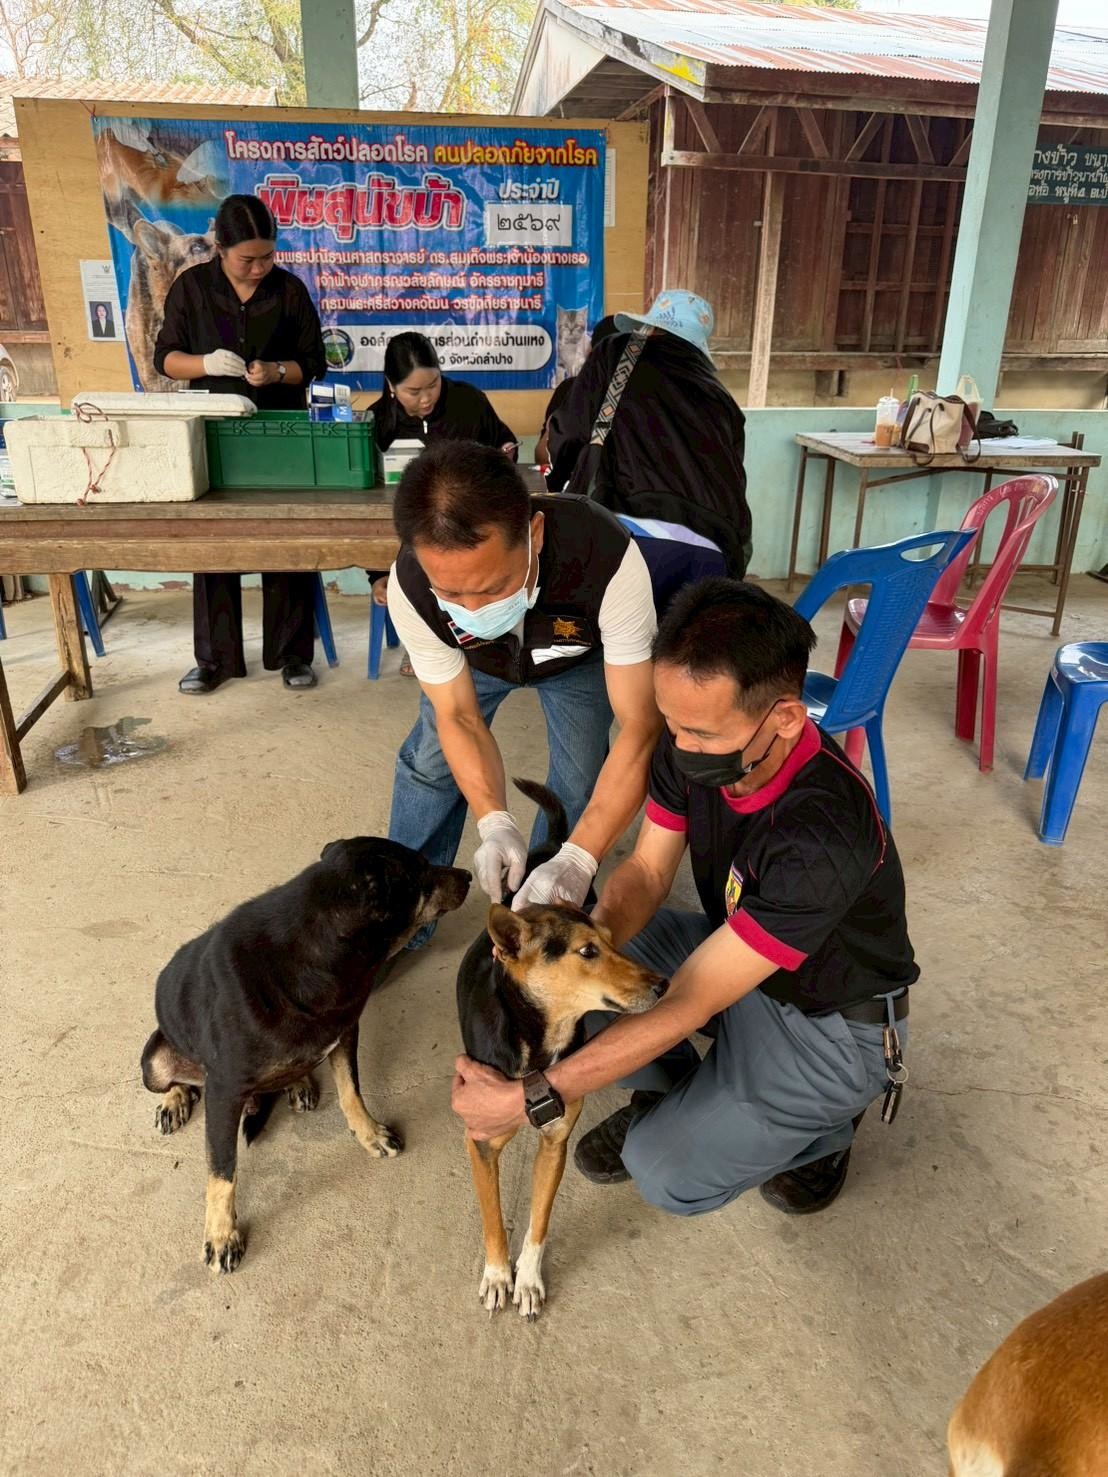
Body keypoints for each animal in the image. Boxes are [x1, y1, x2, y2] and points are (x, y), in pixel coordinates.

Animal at [141, 838, 470, 1274]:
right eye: (419, 871)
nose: (469, 875)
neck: (315, 951)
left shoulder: (345, 1032)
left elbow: (351, 1092)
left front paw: (370, 1134)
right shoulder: (224, 1089)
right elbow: (222, 1169)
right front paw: (221, 1235)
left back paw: (297, 1080)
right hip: (155, 1059)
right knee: (175, 1078)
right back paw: (174, 1100)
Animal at [457, 780, 667, 1319]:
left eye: (612, 941)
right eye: (587, 952)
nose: (663, 984)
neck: (537, 1045)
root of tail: (548, 847)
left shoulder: (556, 1141)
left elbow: (539, 1218)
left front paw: (528, 1278)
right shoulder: (480, 1139)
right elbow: (492, 1216)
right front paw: (497, 1273)